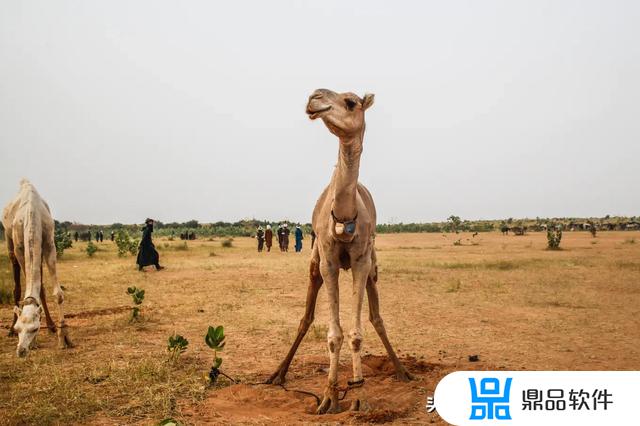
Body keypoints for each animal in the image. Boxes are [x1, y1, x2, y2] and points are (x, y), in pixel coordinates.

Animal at [266, 89, 412, 412]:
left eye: (351, 103)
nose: (314, 97)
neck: (344, 215)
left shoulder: (360, 261)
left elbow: (357, 333)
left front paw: (358, 396)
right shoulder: (328, 262)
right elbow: (333, 335)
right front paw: (329, 397)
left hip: (372, 269)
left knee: (377, 318)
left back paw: (401, 370)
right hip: (314, 265)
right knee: (305, 319)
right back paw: (277, 374)